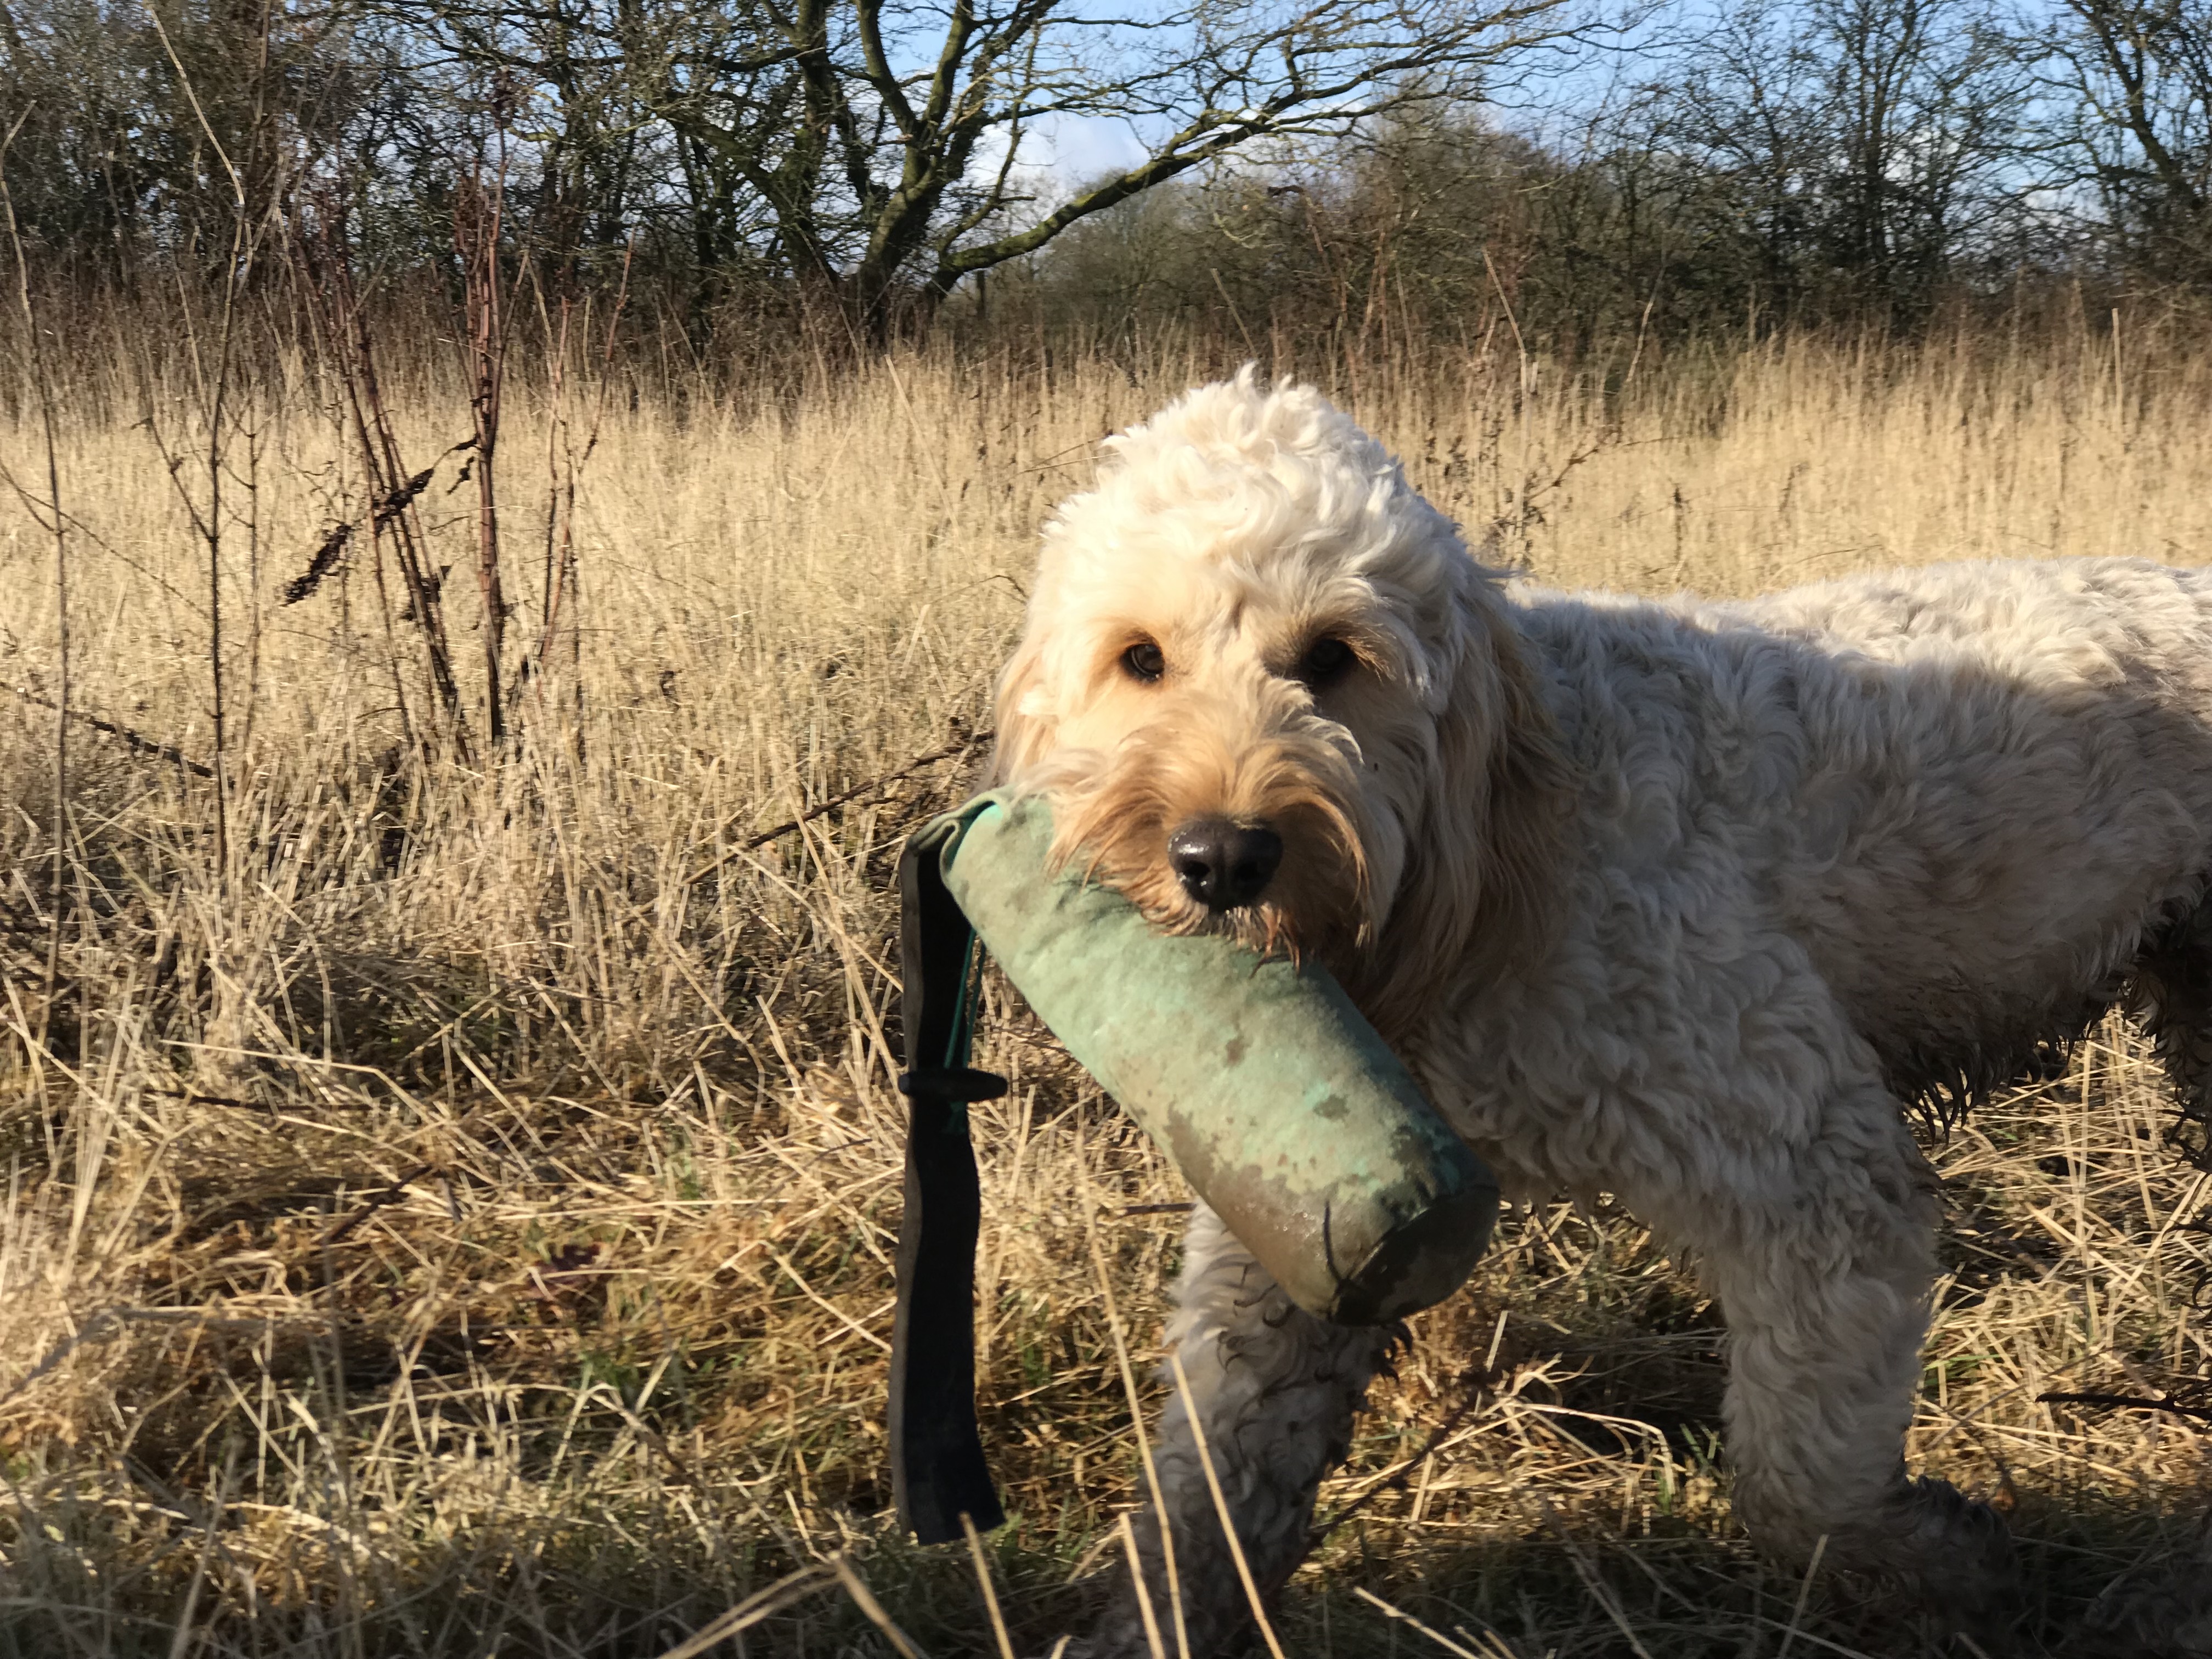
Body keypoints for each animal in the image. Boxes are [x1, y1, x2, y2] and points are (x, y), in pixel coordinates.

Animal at [995, 369, 2212, 1654]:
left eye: (1333, 656)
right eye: (1140, 659)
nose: (1221, 858)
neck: (1499, 843)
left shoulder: (1809, 1159)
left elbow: (1799, 1477)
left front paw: (1931, 1562)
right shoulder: (1302, 1209)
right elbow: (1215, 1470)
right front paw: (1152, 1616)